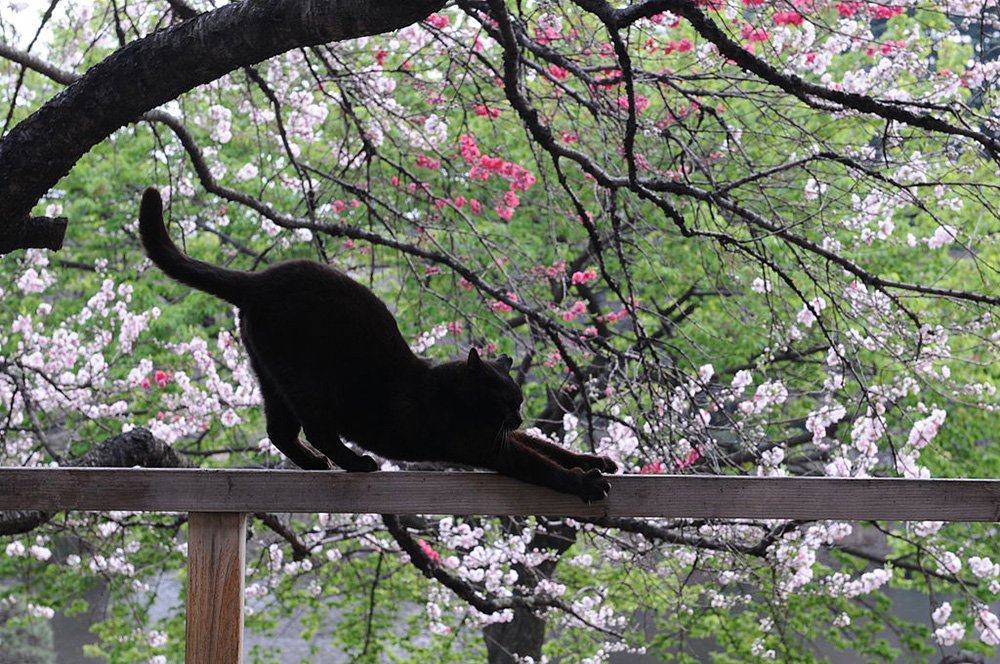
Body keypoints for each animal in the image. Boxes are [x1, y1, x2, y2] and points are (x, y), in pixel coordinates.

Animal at [137, 187, 612, 498]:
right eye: (507, 400)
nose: (518, 416)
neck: (452, 393)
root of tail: (257, 280)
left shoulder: (499, 437)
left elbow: (548, 447)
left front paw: (595, 461)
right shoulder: (487, 445)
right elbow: (541, 464)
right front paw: (584, 483)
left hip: (270, 377)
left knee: (279, 431)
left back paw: (316, 464)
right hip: (307, 380)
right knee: (316, 428)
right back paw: (353, 462)